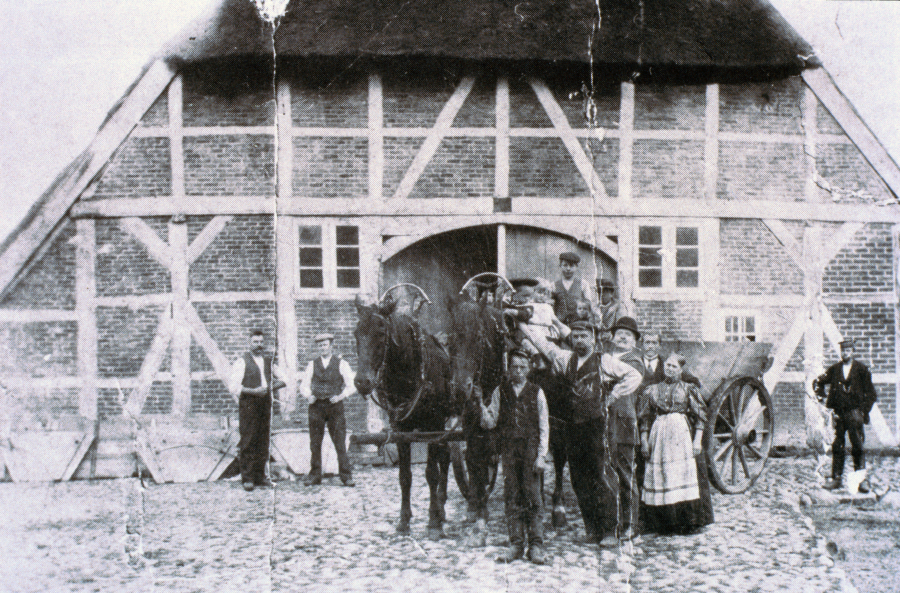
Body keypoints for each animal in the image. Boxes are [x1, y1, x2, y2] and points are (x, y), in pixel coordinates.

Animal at [354, 294, 458, 540]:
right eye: (356, 333)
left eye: (381, 333)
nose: (362, 382)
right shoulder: (401, 430)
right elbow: (404, 476)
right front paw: (404, 520)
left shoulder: (433, 426)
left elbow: (431, 473)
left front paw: (433, 523)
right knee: (446, 455)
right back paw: (442, 508)